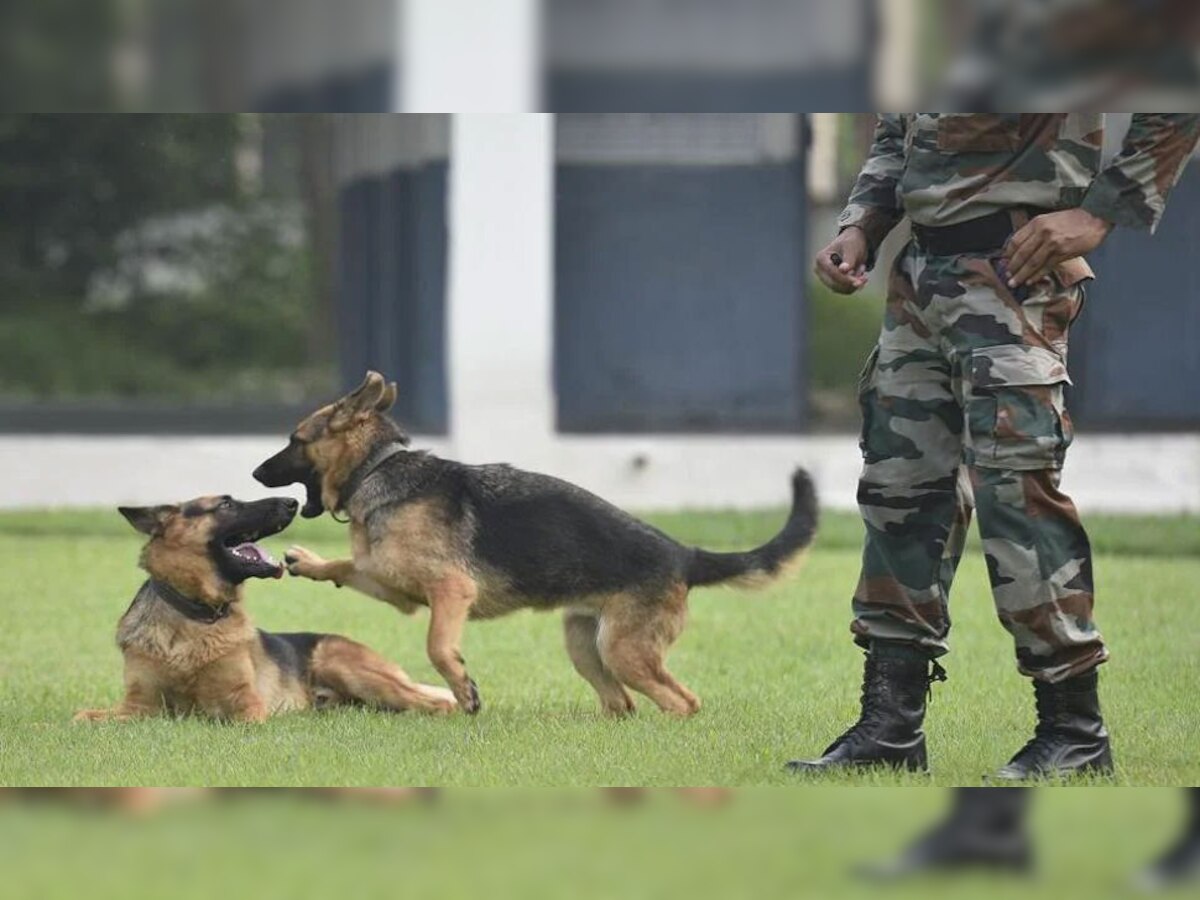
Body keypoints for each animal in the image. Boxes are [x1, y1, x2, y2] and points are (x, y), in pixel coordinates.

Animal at [72, 494, 453, 724]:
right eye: (226, 504)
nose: (292, 501)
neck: (197, 614)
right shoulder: (137, 706)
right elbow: (83, 717)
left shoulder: (248, 707)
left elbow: (225, 717)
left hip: (346, 666)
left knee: (437, 703)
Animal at [252, 374, 816, 720]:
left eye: (295, 439)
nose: (256, 474)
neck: (378, 466)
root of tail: (684, 554)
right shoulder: (393, 585)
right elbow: (347, 566)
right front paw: (310, 561)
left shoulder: (450, 592)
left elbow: (437, 646)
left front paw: (464, 690)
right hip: (586, 646)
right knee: (623, 704)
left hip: (624, 651)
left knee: (683, 701)